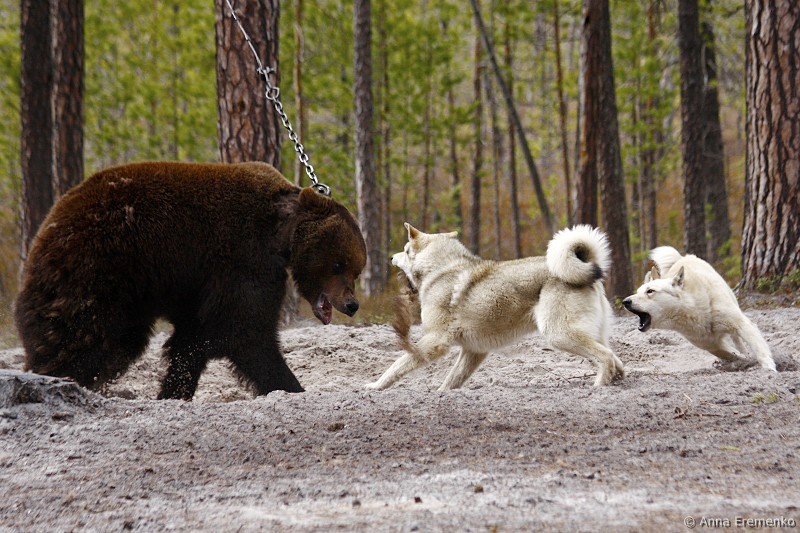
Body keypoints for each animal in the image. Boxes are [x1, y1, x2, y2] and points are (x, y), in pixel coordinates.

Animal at [14, 161, 367, 399]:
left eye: (356, 269)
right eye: (338, 264)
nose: (351, 304)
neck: (281, 235)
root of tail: (46, 227)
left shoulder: (203, 285)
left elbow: (193, 338)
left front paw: (173, 389)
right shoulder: (244, 260)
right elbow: (246, 333)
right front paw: (288, 385)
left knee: (119, 343)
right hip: (98, 267)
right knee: (81, 337)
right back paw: (56, 378)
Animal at [366, 223, 624, 390]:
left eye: (405, 250)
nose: (391, 257)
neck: (441, 269)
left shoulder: (434, 341)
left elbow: (397, 365)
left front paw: (375, 386)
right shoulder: (474, 351)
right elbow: (451, 381)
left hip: (559, 335)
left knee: (605, 357)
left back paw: (599, 386)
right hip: (586, 335)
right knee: (615, 359)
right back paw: (617, 380)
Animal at [622, 246, 776, 371]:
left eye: (650, 291)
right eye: (638, 291)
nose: (625, 301)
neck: (694, 308)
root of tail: (683, 258)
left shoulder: (742, 325)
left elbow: (758, 349)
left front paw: (769, 369)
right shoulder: (710, 344)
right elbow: (729, 353)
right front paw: (742, 361)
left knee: (737, 339)